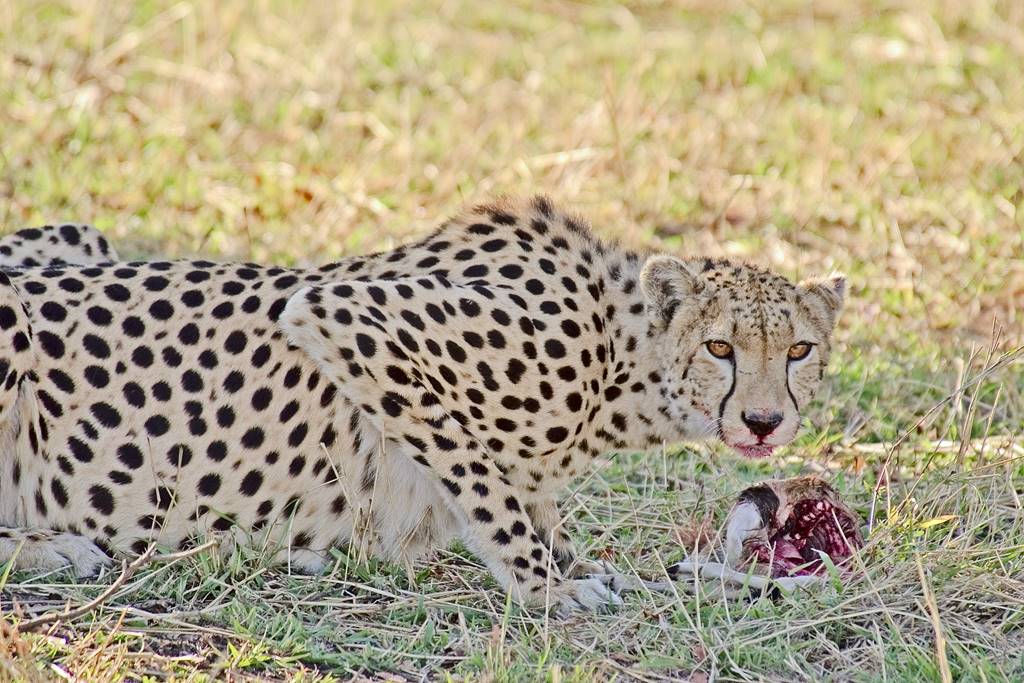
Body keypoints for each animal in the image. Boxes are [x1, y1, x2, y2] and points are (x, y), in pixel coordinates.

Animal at [0, 197, 843, 614]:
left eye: (799, 350)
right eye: (721, 347)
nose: (764, 421)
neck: (617, 349)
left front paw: (583, 566)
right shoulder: (347, 316)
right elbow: (481, 478)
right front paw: (547, 585)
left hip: (80, 236)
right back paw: (55, 547)